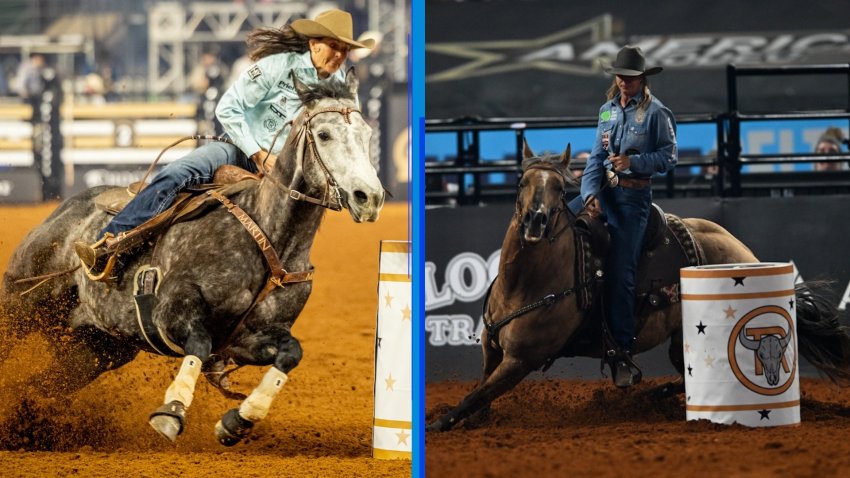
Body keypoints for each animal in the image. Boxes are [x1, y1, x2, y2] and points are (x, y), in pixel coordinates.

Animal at [0, 69, 382, 446]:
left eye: (367, 134)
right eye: (324, 134)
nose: (370, 197)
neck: (269, 236)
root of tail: (63, 213)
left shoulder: (249, 338)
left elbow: (291, 353)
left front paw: (239, 420)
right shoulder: (170, 313)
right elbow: (198, 343)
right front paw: (172, 411)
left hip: (93, 351)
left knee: (40, 386)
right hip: (20, 305)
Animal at [428, 144, 848, 432]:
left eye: (561, 188)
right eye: (521, 182)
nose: (535, 220)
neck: (527, 284)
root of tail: (741, 249)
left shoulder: (522, 360)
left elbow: (475, 395)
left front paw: (437, 424)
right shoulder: (492, 349)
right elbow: (480, 395)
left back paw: (648, 397)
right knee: (685, 376)